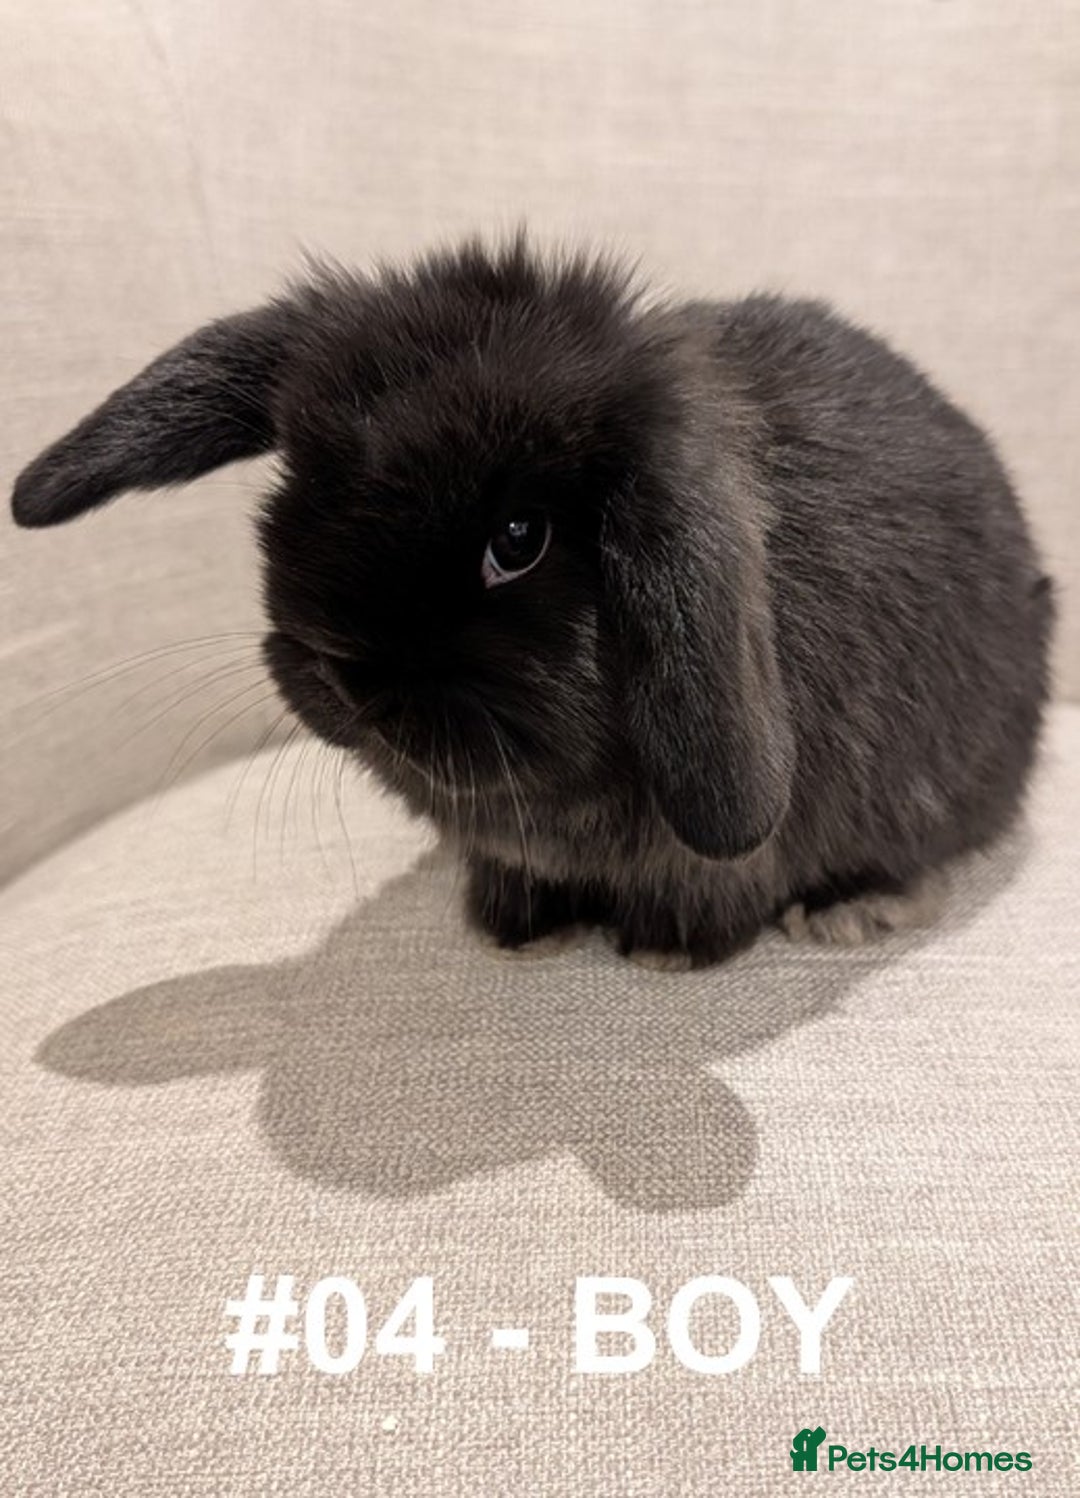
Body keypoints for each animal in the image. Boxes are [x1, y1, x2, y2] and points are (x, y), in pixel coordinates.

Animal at [11, 232, 1054, 967]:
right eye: (297, 485)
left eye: (518, 540)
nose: (344, 681)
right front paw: (513, 927)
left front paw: (669, 952)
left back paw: (850, 909)